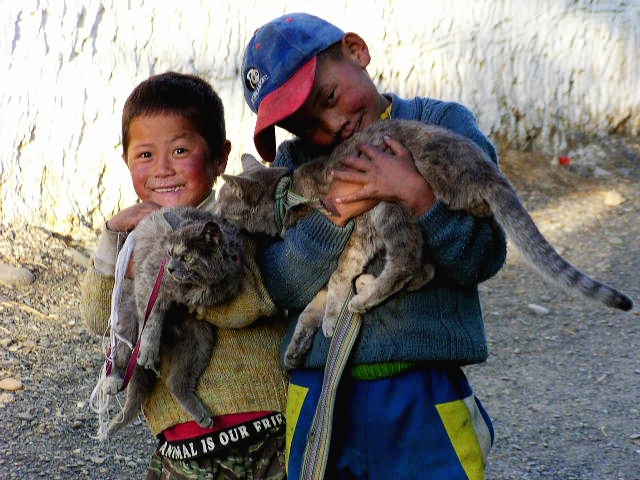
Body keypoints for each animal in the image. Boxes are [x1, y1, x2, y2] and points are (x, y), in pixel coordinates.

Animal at [102, 204, 245, 436]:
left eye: (186, 257)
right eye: (169, 253)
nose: (169, 268)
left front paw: (199, 297)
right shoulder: (150, 281)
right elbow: (151, 321)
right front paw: (148, 352)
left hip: (199, 342)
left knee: (175, 382)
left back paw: (202, 415)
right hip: (127, 320)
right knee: (120, 354)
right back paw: (113, 379)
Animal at [214, 119, 632, 368]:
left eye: (221, 201)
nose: (212, 213)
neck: (288, 194)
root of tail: (490, 171)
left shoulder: (354, 234)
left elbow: (335, 283)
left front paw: (333, 318)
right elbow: (313, 301)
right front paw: (299, 343)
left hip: (392, 204)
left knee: (408, 261)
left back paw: (364, 296)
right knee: (425, 267)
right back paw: (369, 288)